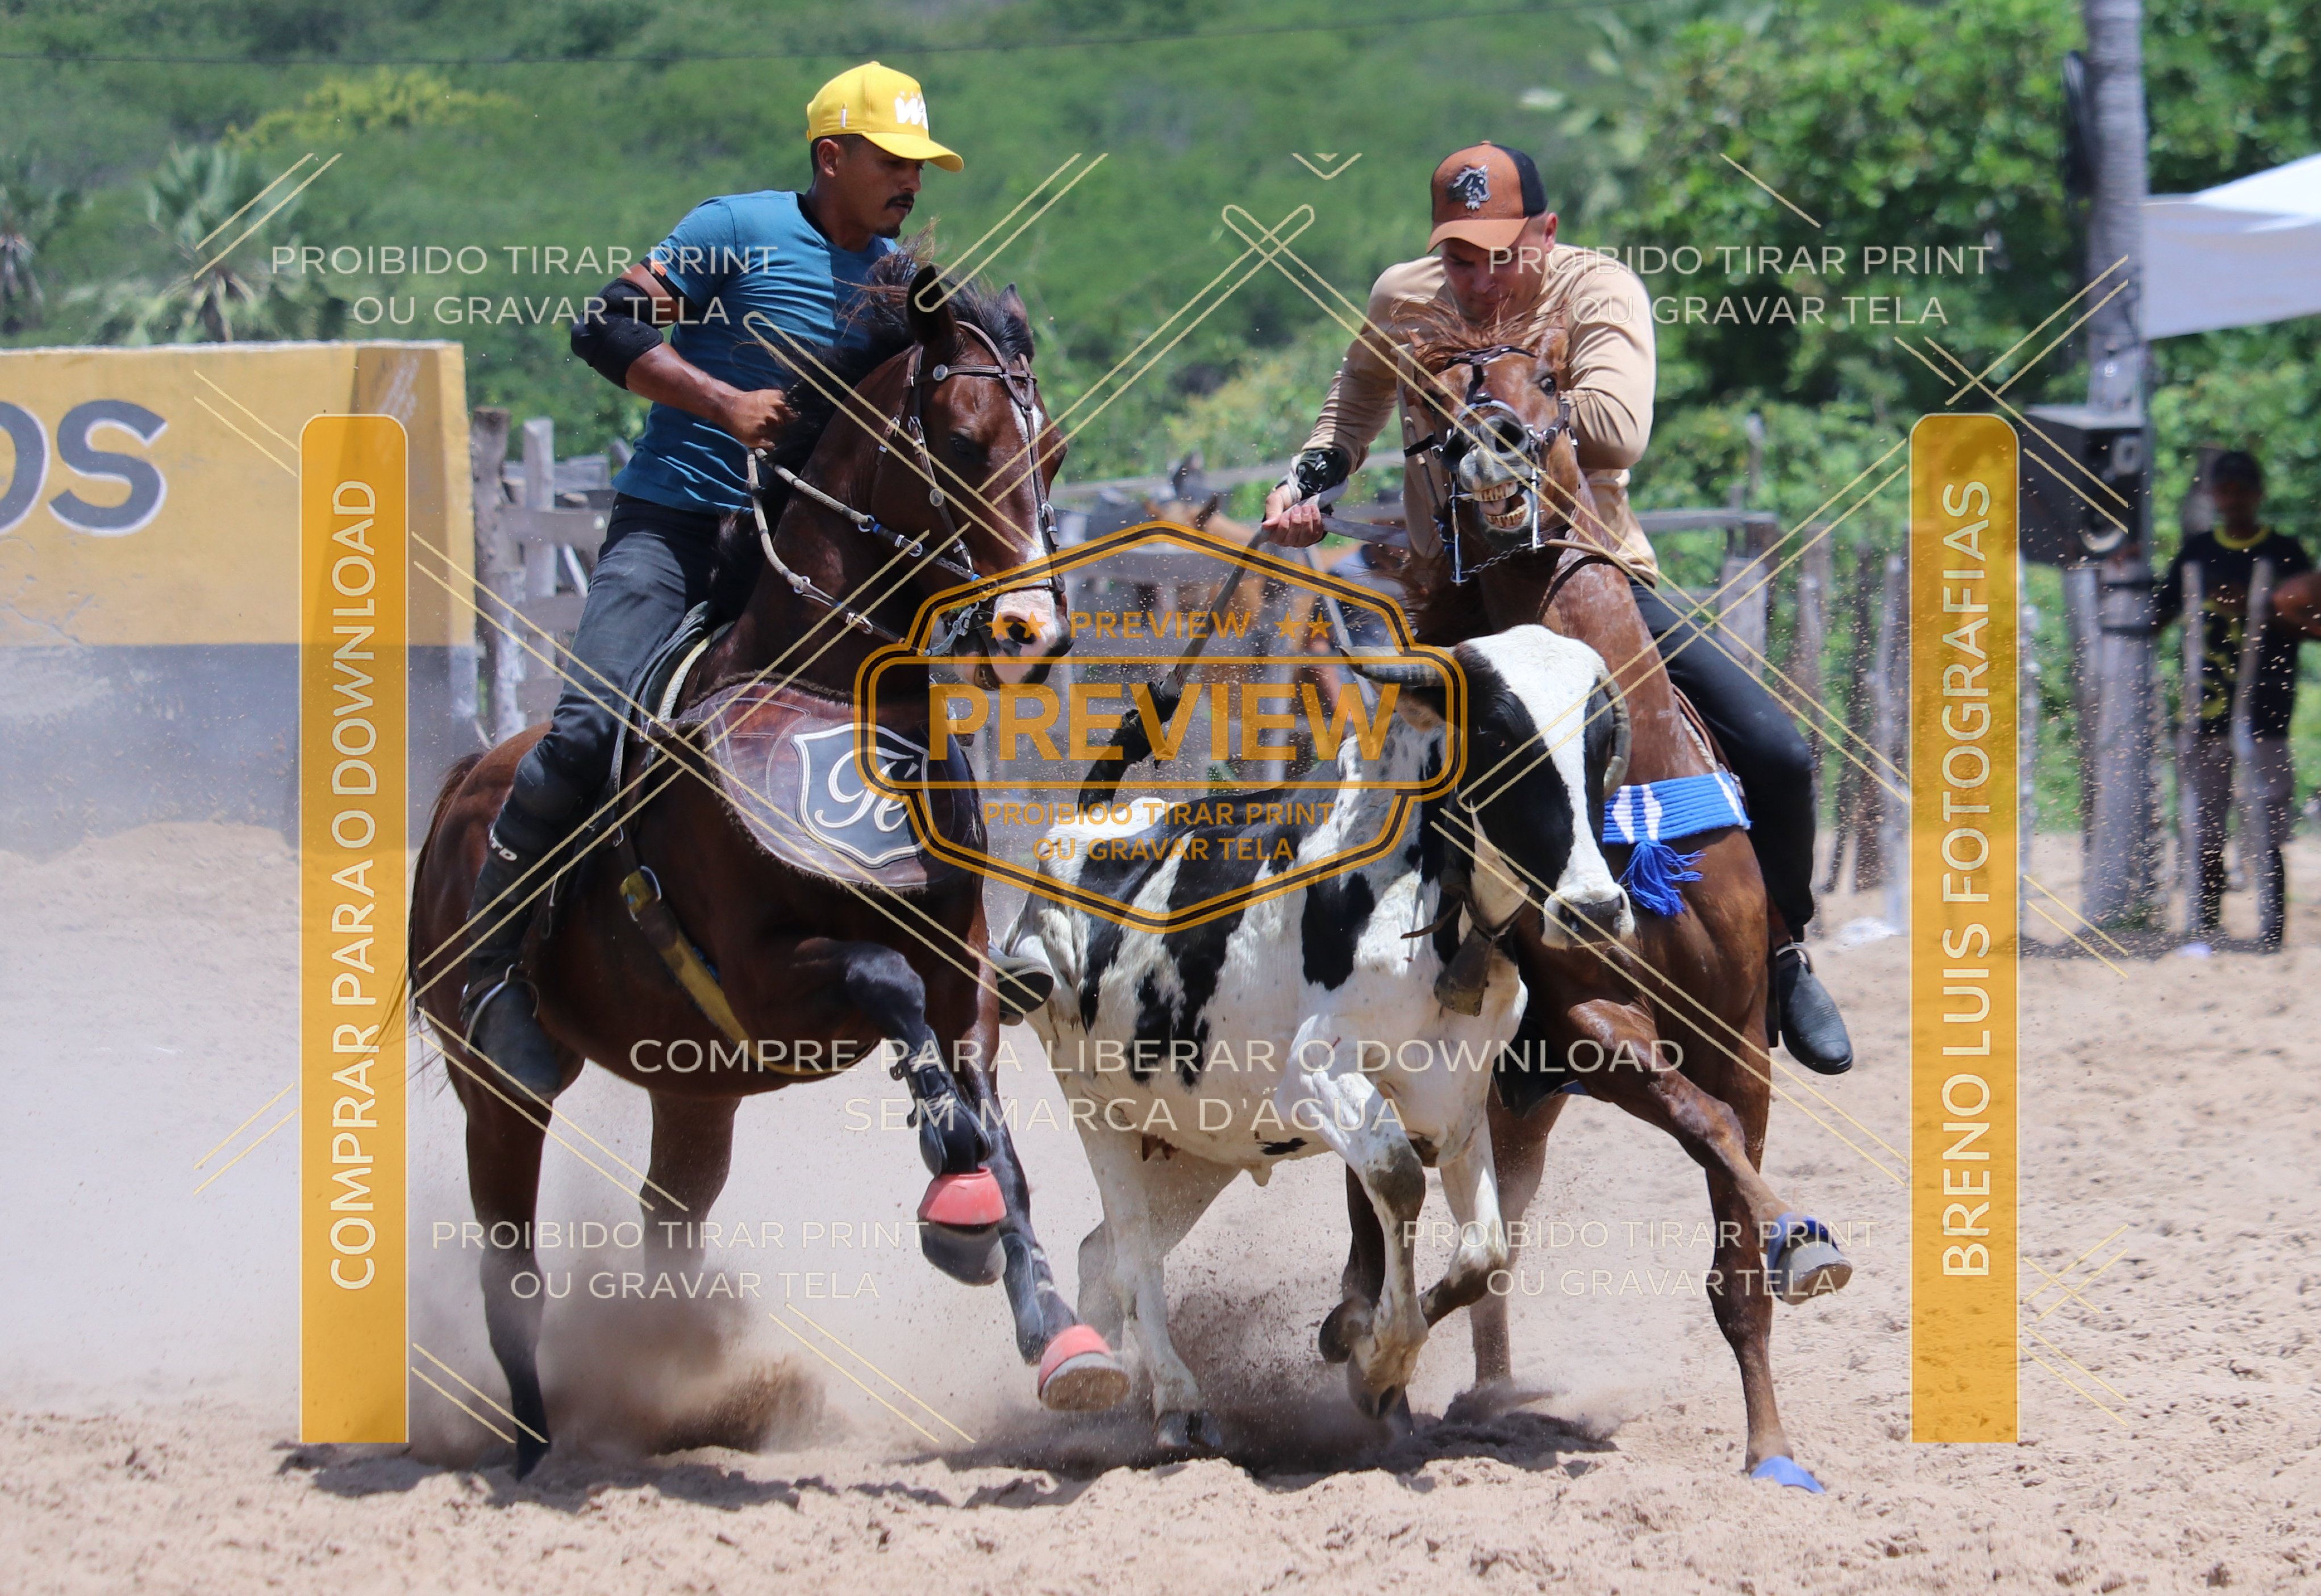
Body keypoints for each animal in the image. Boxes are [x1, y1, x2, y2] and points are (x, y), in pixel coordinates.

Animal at [410, 257, 1126, 1476]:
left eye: (1060, 449)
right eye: (961, 436)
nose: (1032, 629)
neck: (834, 695)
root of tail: (466, 777)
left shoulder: (962, 958)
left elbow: (996, 1121)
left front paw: (1055, 1327)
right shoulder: (760, 971)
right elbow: (890, 994)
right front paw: (952, 1186)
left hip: (692, 1090)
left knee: (667, 1228)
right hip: (494, 1084)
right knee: (512, 1264)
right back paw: (537, 1443)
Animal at [1006, 622, 1632, 1451]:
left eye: (1600, 738)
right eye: (1499, 732)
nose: (1593, 909)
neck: (1423, 900)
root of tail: (1081, 827)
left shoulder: (1458, 1103)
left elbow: (1483, 1251)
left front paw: (1355, 1342)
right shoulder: (1316, 1076)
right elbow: (1397, 1180)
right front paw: (1381, 1357)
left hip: (1194, 1145)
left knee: (1098, 1253)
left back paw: (1097, 1376)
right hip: (1096, 1109)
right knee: (1134, 1253)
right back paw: (1173, 1400)